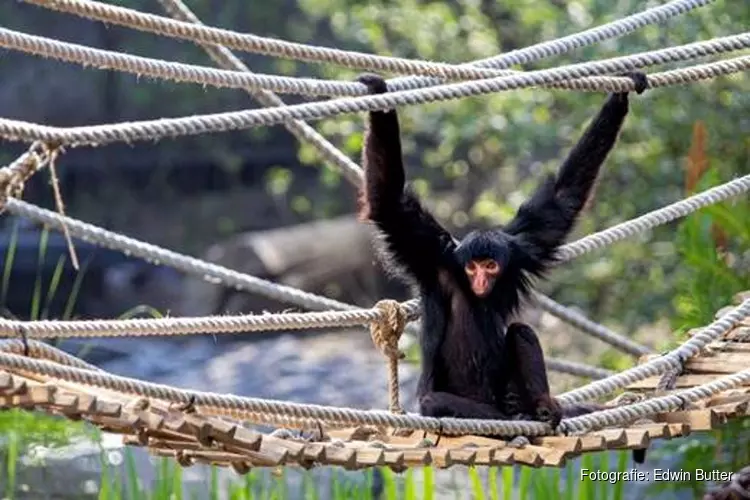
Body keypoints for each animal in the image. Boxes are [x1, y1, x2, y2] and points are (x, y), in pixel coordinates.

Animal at [356, 72, 648, 428]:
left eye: (491, 266)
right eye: (472, 267)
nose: (481, 280)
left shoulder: (521, 249)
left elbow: (561, 200)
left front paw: (621, 95)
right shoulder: (431, 253)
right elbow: (389, 204)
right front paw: (377, 90)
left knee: (521, 331)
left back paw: (539, 407)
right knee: (436, 402)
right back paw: (519, 413)